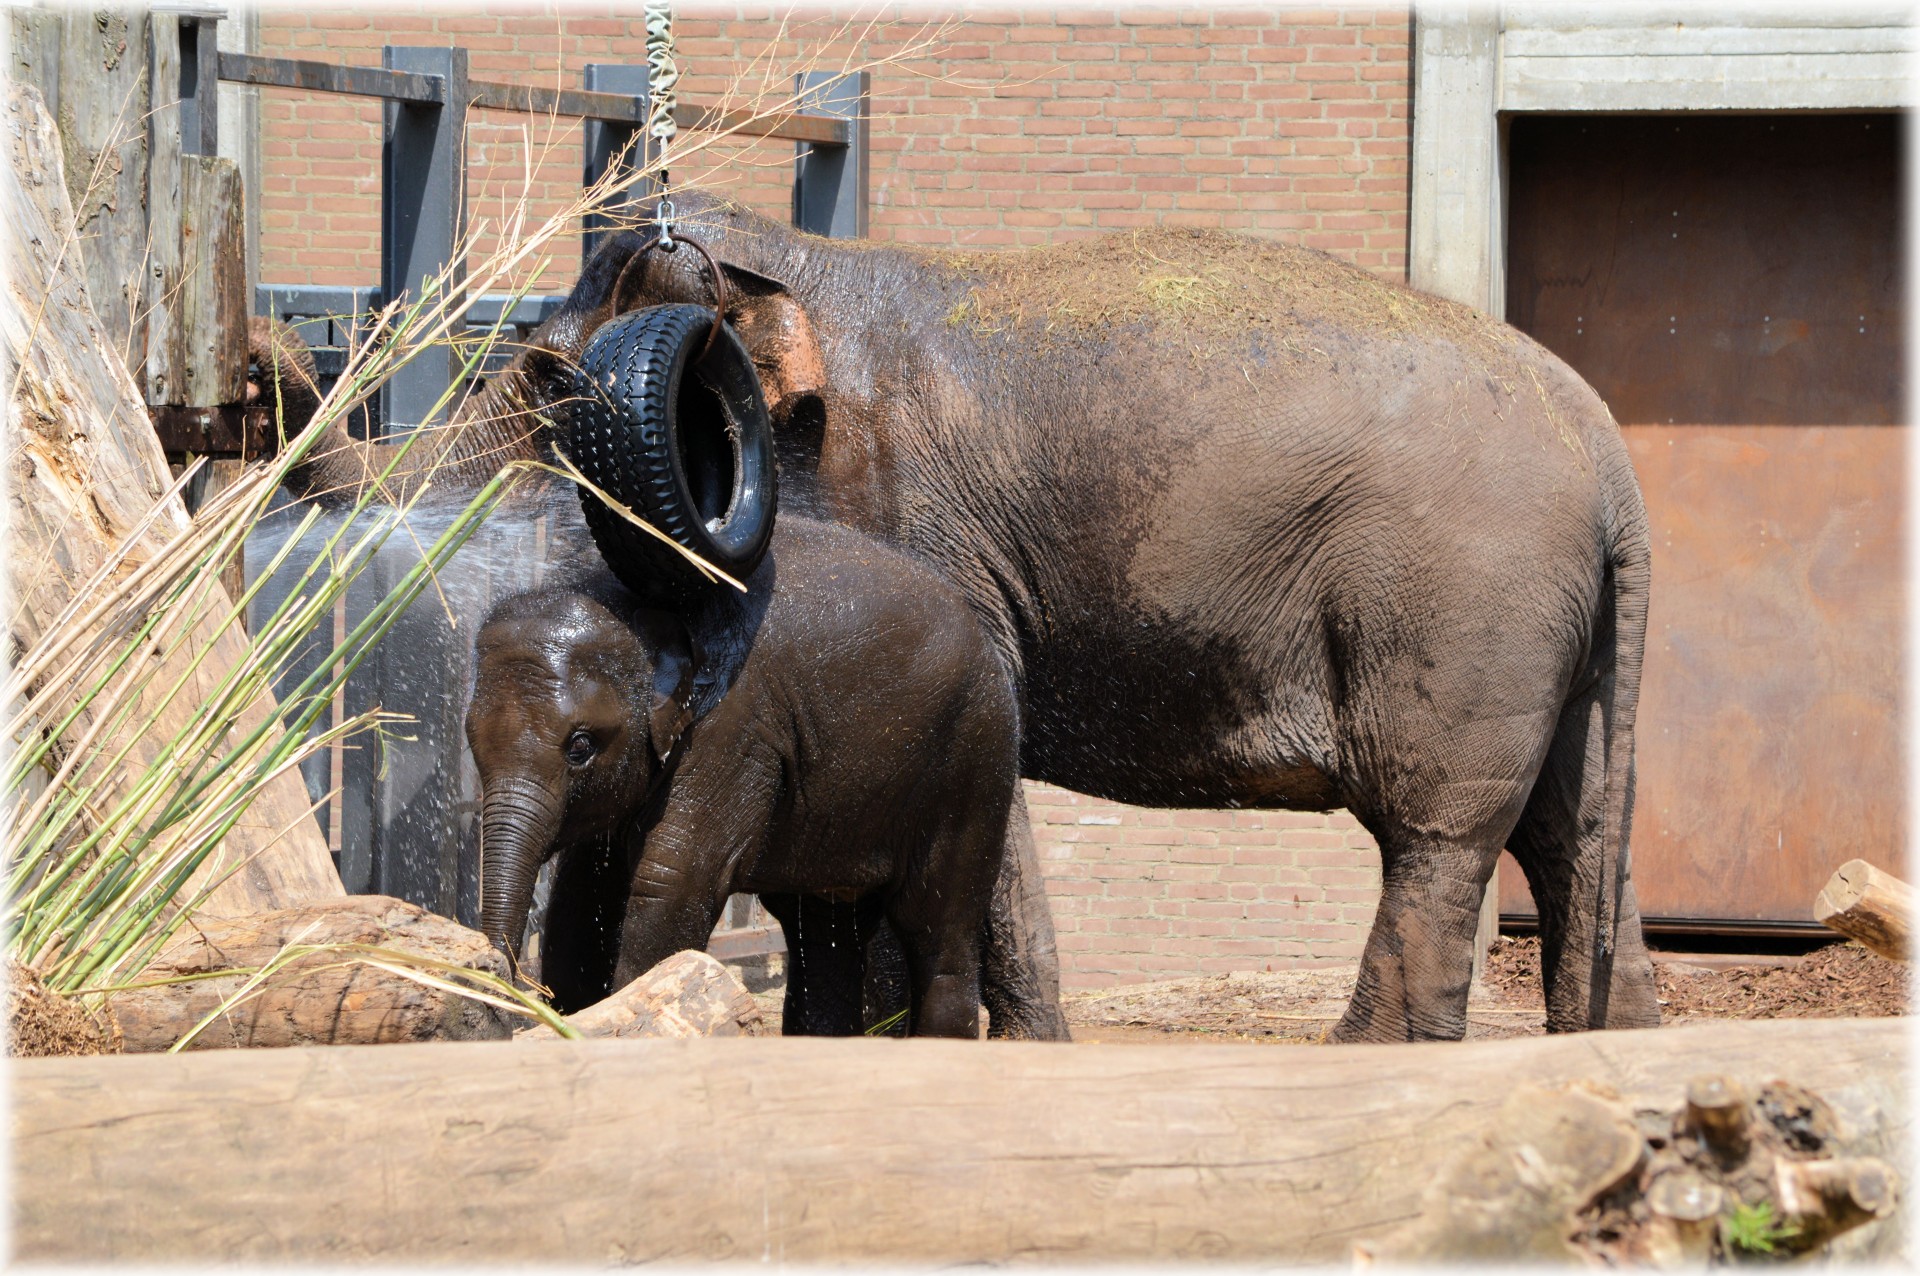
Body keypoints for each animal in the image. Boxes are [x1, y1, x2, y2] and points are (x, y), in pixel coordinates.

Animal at [466, 514, 1021, 1036]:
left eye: (580, 747)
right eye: (471, 742)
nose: (492, 981)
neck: (623, 598)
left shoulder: (735, 724)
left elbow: (672, 880)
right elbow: (580, 895)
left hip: (975, 758)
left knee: (937, 928)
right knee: (821, 933)